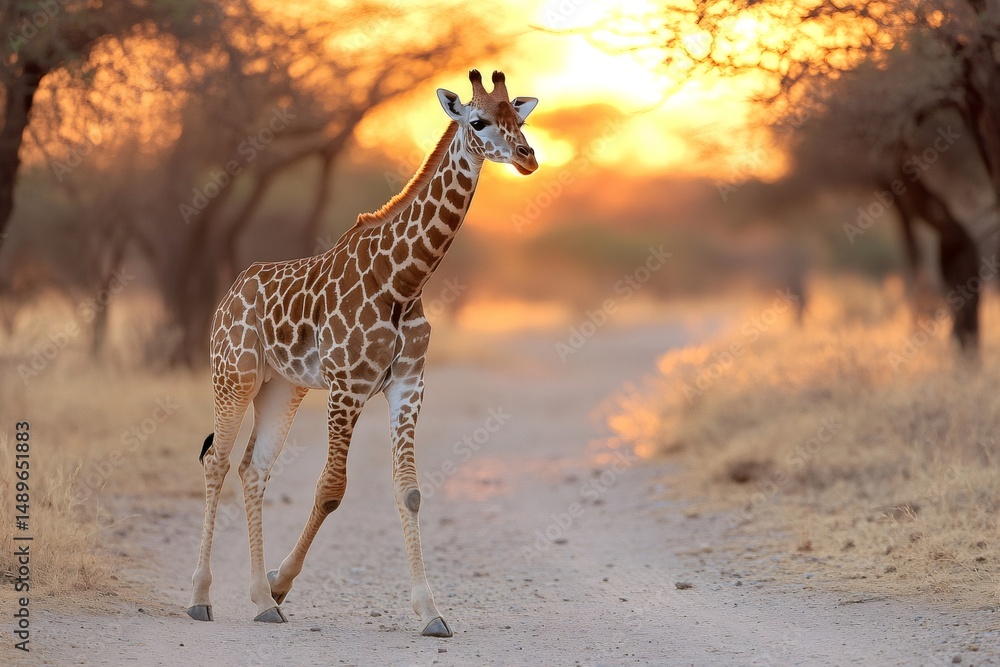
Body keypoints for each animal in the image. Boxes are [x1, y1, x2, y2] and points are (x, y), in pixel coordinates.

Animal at [187, 69, 538, 637]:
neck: (405, 280)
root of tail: (229, 295)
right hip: (233, 373)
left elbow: (409, 490)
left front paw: (430, 611)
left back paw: (261, 601)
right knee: (216, 462)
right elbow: (331, 488)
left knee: (252, 469)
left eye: (520, 120)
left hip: (283, 387)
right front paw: (284, 582)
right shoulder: (347, 385)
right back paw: (201, 597)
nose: (528, 157)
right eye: (479, 121)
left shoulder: (408, 385)